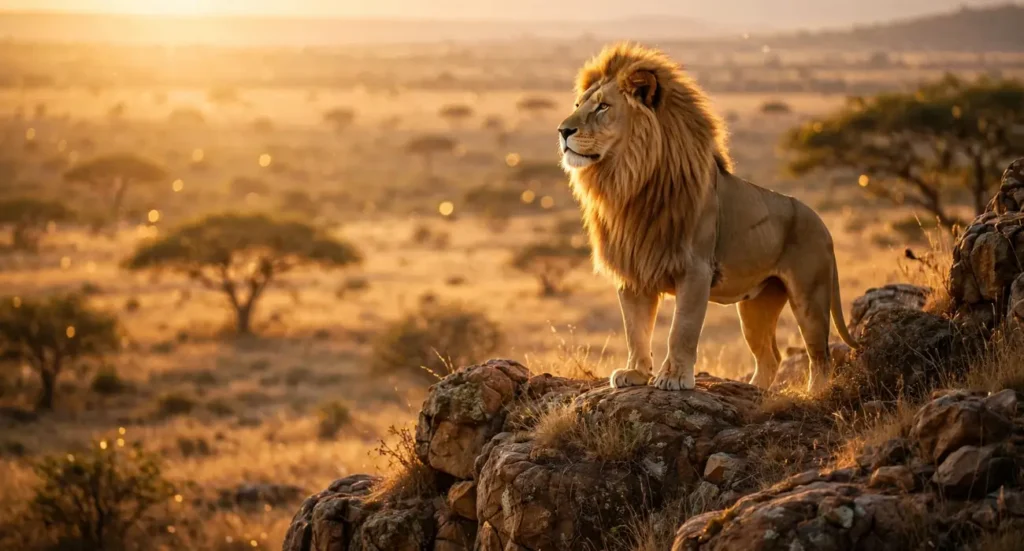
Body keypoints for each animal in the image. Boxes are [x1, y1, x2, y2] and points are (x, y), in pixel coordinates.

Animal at [557, 43, 857, 393]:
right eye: (578, 105)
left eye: (603, 106)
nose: (563, 131)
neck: (628, 181)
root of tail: (822, 224)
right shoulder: (633, 271)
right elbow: (635, 329)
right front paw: (635, 373)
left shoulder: (696, 269)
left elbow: (682, 329)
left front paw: (674, 378)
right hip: (757, 305)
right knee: (770, 356)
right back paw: (755, 390)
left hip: (810, 295)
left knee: (820, 355)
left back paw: (813, 393)